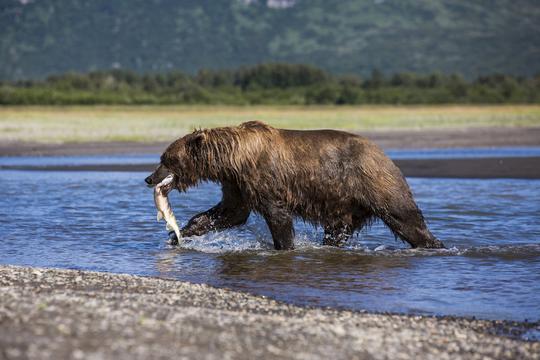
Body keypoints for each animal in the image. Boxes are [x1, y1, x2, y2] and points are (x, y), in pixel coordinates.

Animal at [146, 121, 446, 250]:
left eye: (166, 159)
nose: (149, 178)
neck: (233, 158)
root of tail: (382, 152)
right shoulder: (237, 184)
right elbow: (229, 213)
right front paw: (179, 233)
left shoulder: (262, 177)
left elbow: (277, 215)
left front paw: (284, 246)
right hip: (345, 206)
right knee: (337, 231)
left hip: (374, 182)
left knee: (405, 217)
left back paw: (433, 244)